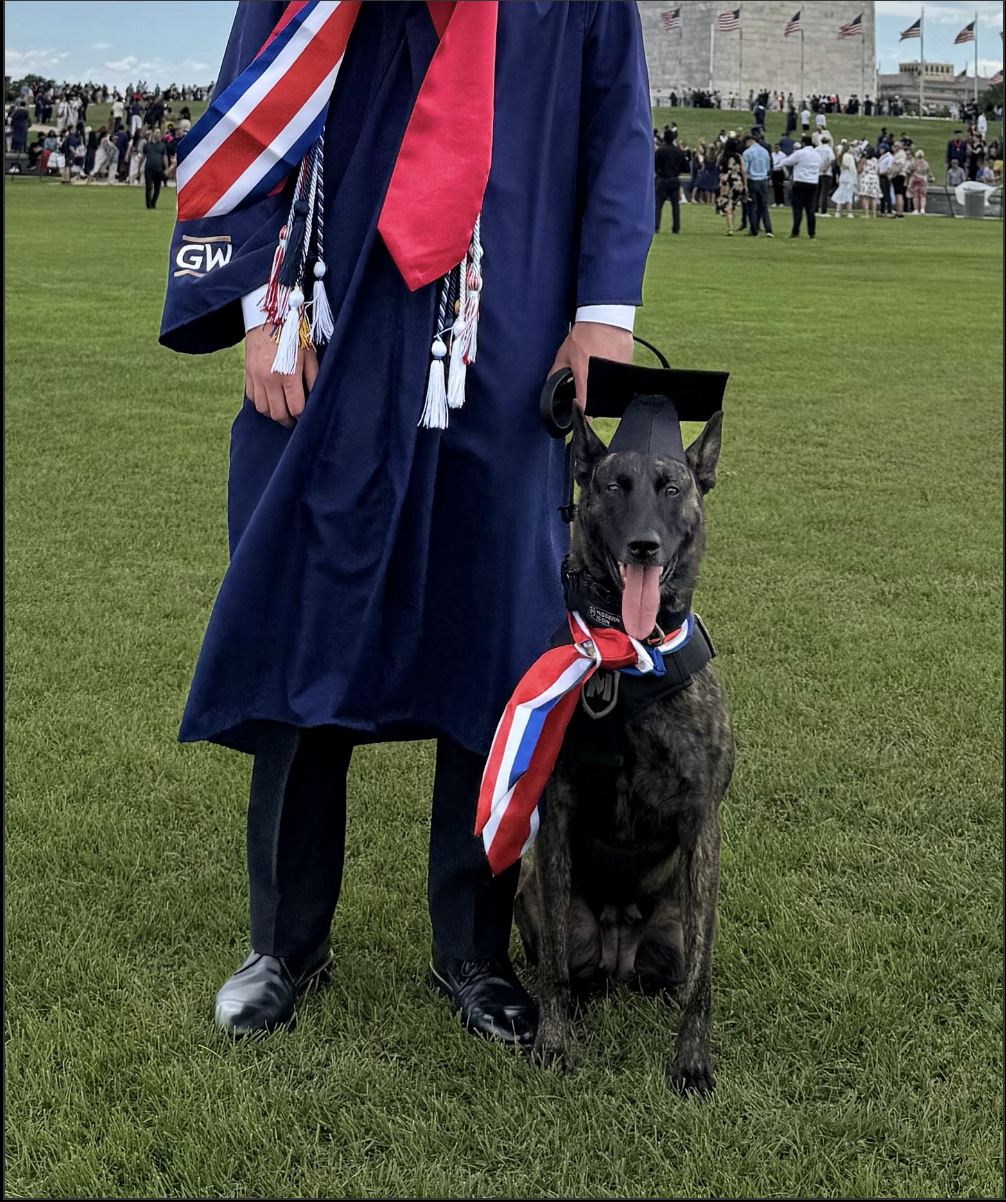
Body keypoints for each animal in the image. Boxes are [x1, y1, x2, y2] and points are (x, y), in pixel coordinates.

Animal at [514, 403, 733, 1096]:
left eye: (671, 487)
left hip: (678, 921)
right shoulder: (555, 810)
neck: (627, 658)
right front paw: (554, 1041)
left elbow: (702, 985)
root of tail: (618, 950)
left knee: (678, 974)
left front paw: (692, 1061)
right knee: (562, 961)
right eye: (614, 486)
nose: (644, 545)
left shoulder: (702, 819)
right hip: (531, 887)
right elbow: (556, 962)